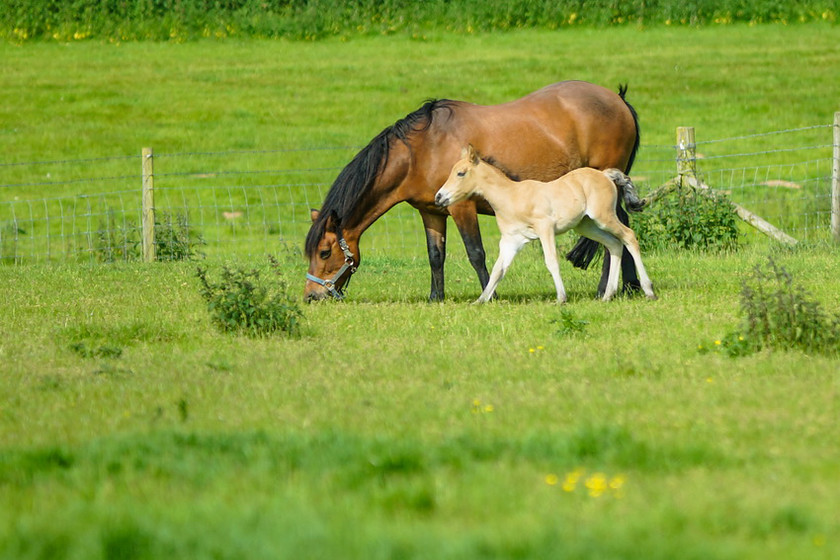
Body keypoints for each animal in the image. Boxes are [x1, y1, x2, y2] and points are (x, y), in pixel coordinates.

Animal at [434, 144, 656, 302]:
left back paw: (649, 291)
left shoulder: (545, 229)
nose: (439, 197)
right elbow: (498, 269)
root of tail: (604, 174)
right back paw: (608, 295)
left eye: (461, 173)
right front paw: (481, 300)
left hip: (604, 217)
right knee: (614, 245)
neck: (512, 197)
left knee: (628, 237)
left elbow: (551, 260)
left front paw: (561, 298)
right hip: (586, 225)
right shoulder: (510, 241)